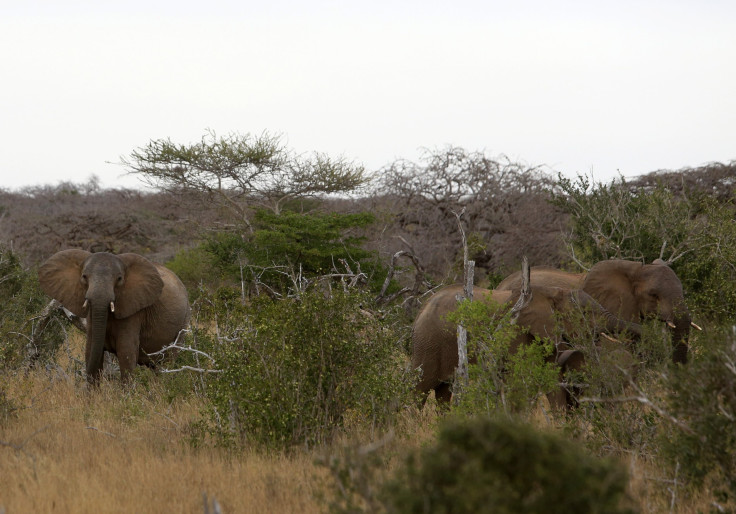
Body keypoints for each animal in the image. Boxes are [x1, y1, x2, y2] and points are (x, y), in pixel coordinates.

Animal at [38, 248, 190, 380]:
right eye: (84, 277)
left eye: (119, 279)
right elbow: (91, 350)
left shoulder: (134, 311)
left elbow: (126, 353)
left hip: (183, 323)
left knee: (166, 364)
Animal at [412, 282, 640, 406]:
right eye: (584, 313)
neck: (551, 292)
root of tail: (423, 306)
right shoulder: (515, 332)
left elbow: (553, 379)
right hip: (429, 344)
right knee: (419, 389)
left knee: (443, 392)